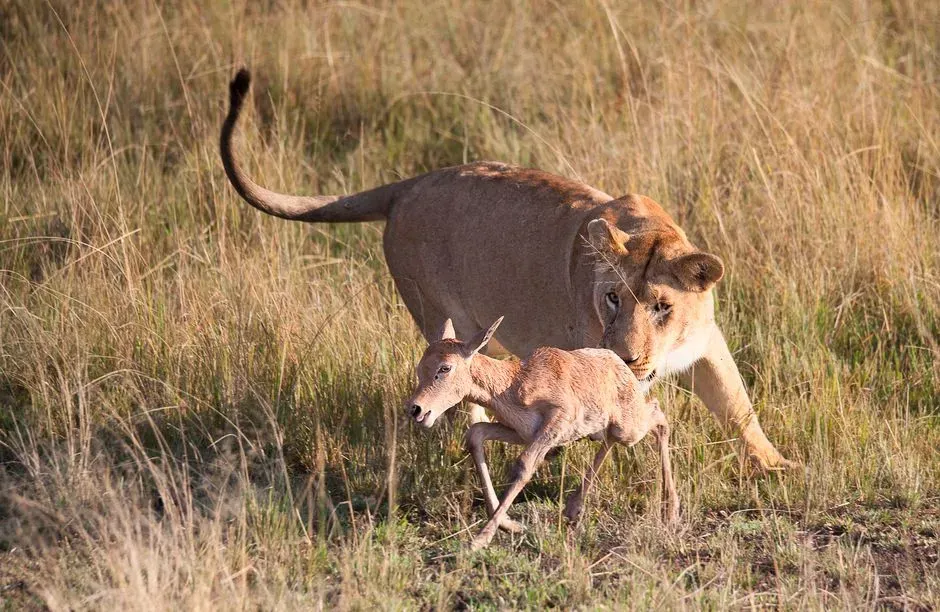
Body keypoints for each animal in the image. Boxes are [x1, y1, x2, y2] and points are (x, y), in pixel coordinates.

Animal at [220, 69, 794, 471]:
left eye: (662, 306)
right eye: (612, 297)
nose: (627, 358)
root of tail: (409, 184)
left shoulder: (708, 344)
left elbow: (738, 406)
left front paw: (777, 466)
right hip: (435, 311)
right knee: (451, 368)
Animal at [406, 316, 680, 550]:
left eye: (445, 368)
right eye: (421, 365)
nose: (416, 409)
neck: (514, 382)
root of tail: (618, 364)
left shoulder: (556, 421)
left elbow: (524, 465)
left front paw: (480, 540)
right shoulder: (521, 432)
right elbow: (475, 434)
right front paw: (511, 525)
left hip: (629, 428)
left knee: (659, 416)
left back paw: (671, 511)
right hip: (609, 429)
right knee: (612, 439)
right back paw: (573, 509)